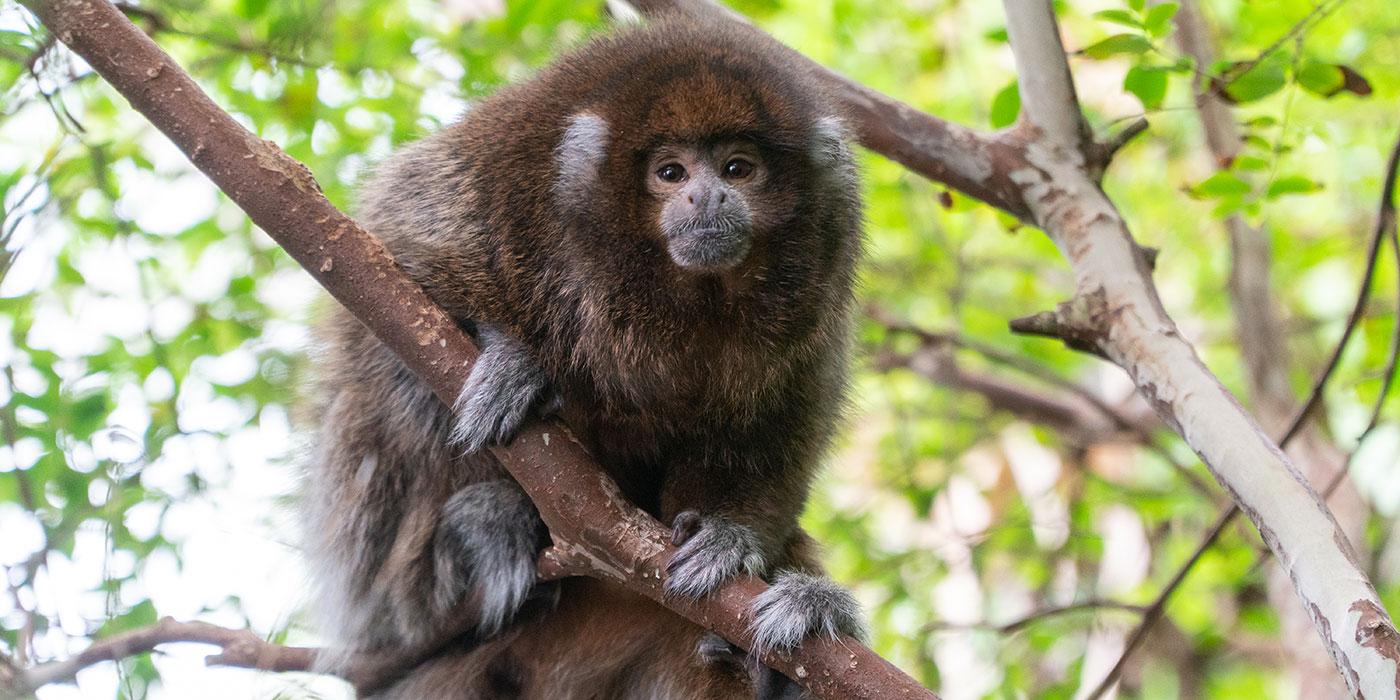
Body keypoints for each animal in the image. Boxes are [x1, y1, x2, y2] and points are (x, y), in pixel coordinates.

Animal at [309, 12, 862, 700]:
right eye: (671, 174)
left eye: (738, 168)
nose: (707, 200)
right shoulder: (501, 182)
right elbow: (392, 274)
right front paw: (508, 359)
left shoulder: (814, 311)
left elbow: (775, 435)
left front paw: (729, 535)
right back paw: (477, 536)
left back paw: (786, 647)